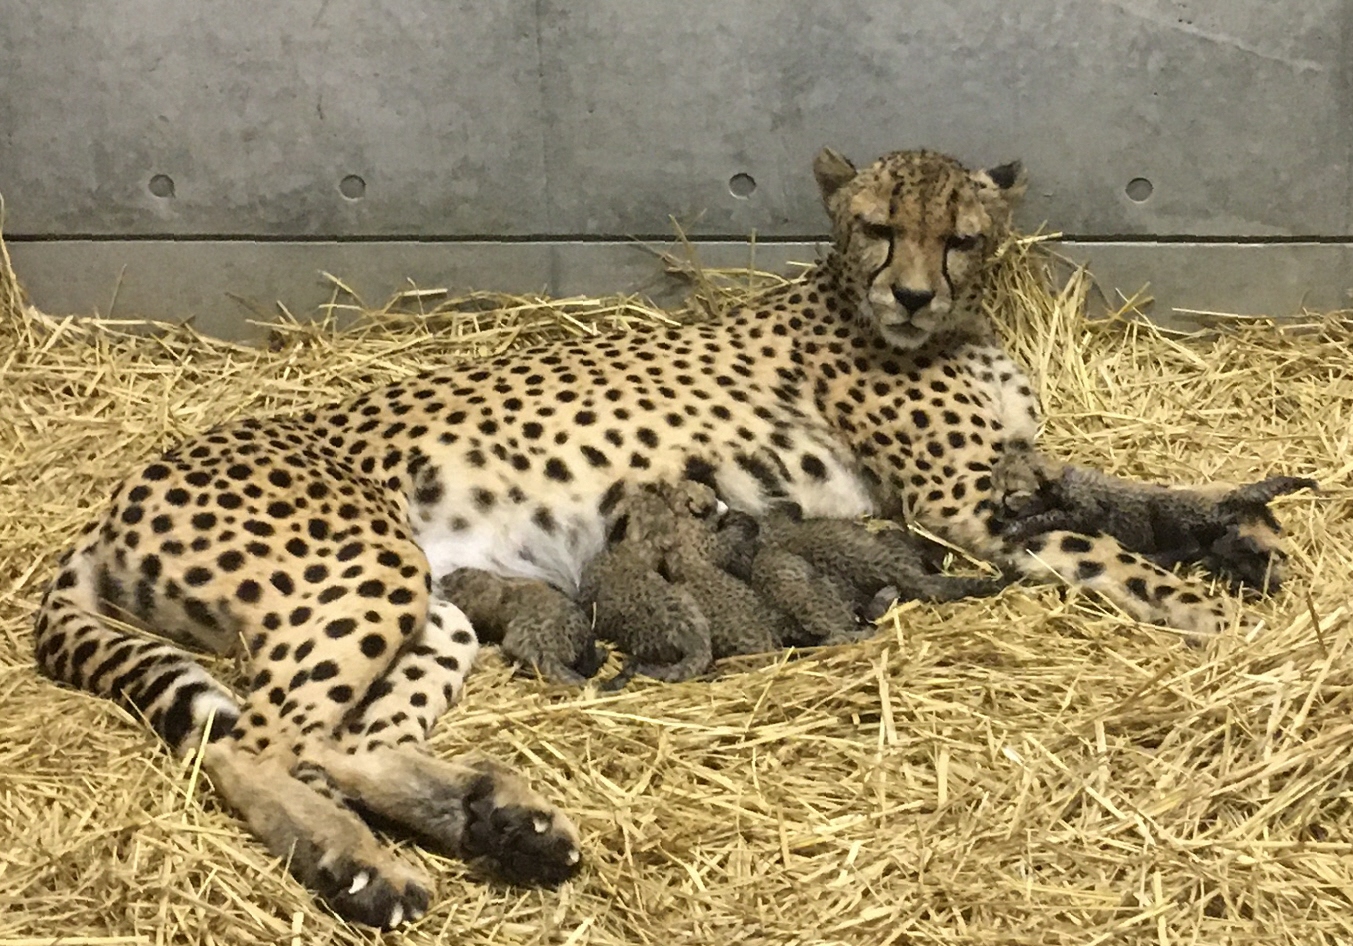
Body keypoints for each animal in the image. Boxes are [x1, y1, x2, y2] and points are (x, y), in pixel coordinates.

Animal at [34, 146, 1288, 925]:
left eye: (965, 238)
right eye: (881, 229)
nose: (916, 296)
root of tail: (116, 496)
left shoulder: (1010, 478)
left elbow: (1117, 488)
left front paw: (1239, 537)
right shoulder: (960, 504)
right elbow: (1108, 549)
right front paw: (1213, 622)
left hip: (434, 608)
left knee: (334, 743)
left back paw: (494, 824)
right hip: (364, 571)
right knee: (251, 745)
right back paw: (361, 868)